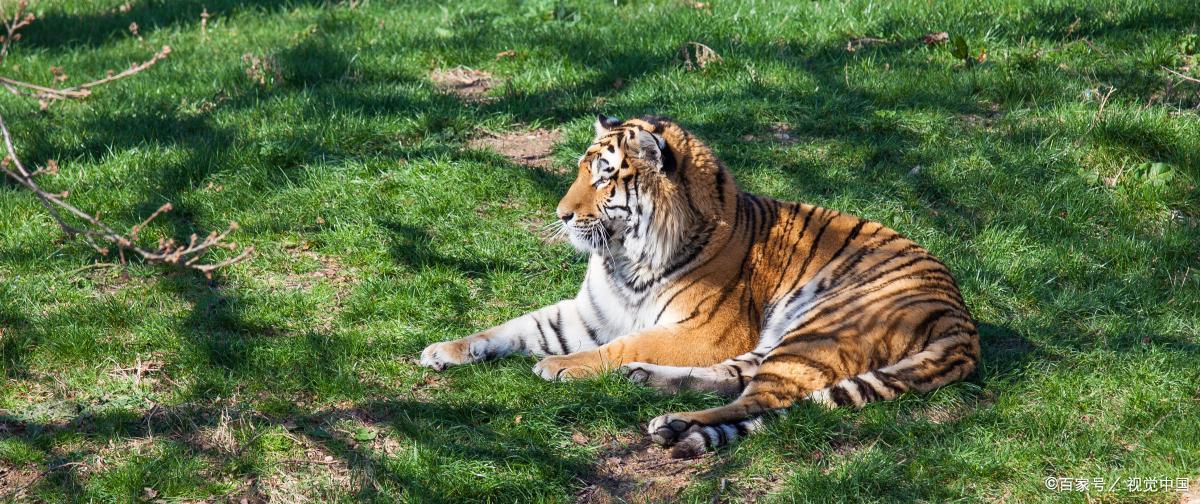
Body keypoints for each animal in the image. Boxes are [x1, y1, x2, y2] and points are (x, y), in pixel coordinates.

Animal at [417, 116, 979, 458]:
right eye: (581, 170)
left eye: (603, 178)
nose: (560, 215)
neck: (625, 258)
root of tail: (960, 317)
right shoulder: (589, 314)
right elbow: (516, 326)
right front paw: (445, 349)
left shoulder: (703, 330)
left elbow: (624, 343)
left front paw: (561, 366)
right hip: (784, 338)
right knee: (740, 379)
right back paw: (649, 385)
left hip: (821, 329)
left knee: (762, 400)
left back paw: (675, 425)